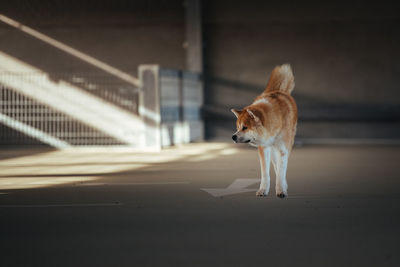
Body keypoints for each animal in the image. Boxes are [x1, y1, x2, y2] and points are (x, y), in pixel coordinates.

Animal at [231, 64, 296, 199]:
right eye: (237, 127)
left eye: (245, 127)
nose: (233, 137)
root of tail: (279, 90)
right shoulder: (264, 148)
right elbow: (266, 173)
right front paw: (263, 190)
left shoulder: (283, 149)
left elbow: (282, 171)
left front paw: (281, 190)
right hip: (272, 149)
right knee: (276, 164)